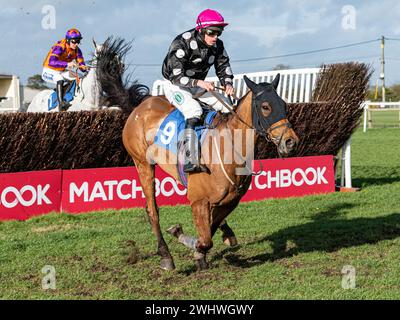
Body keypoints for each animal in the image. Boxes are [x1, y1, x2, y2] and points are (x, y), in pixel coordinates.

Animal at [96, 38, 300, 272]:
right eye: (266, 107)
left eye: (283, 104)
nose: (291, 141)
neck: (229, 150)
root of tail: (141, 105)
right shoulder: (198, 200)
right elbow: (205, 239)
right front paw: (184, 238)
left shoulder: (230, 202)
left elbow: (210, 229)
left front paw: (205, 248)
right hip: (142, 164)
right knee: (152, 211)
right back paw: (166, 256)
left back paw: (226, 232)